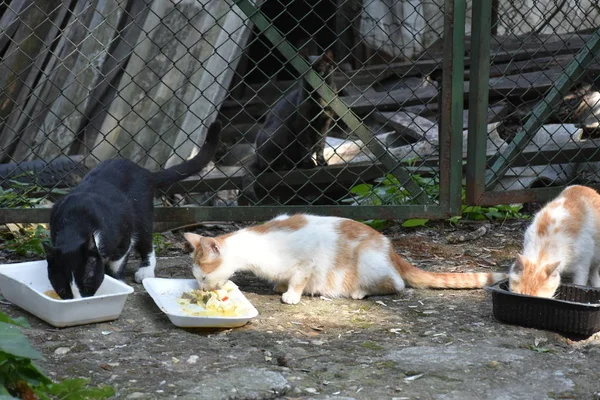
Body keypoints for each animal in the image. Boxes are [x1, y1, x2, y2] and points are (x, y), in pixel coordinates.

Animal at [44, 120, 223, 298]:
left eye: (87, 288)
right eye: (63, 292)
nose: (78, 301)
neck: (76, 225)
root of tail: (145, 172)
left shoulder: (122, 236)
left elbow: (118, 261)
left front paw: (117, 280)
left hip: (142, 213)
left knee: (146, 241)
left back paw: (145, 270)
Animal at [183, 216, 506, 304]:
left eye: (202, 276)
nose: (201, 289)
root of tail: (390, 248)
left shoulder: (308, 259)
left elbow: (299, 277)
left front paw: (291, 294)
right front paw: (280, 287)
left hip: (368, 260)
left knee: (397, 285)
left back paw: (360, 291)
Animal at [241, 49, 336, 203]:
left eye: (321, 73)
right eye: (306, 76)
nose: (312, 86)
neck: (318, 101)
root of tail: (257, 157)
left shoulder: (325, 124)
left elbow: (320, 145)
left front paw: (322, 162)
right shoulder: (302, 123)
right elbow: (306, 145)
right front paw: (309, 164)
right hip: (281, 130)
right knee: (270, 166)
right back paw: (287, 166)